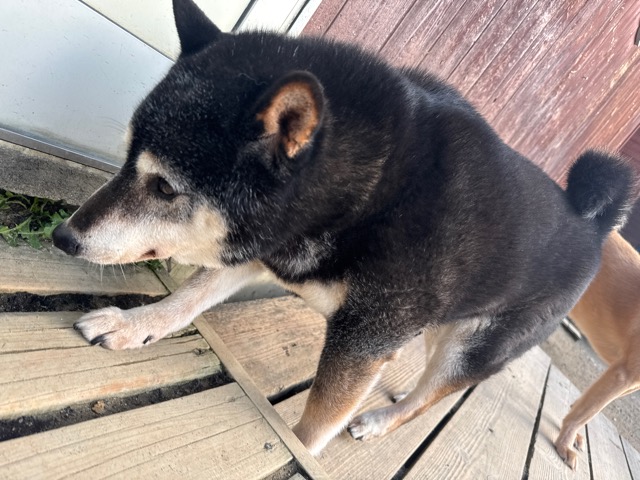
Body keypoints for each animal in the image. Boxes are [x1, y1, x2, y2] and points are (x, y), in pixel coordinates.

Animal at [52, 0, 634, 455]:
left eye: (166, 188)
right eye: (128, 159)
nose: (63, 237)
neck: (371, 193)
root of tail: (595, 227)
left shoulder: (363, 339)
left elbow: (311, 430)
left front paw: (297, 453)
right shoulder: (263, 247)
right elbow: (188, 298)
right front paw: (135, 324)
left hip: (472, 346)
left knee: (426, 397)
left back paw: (380, 421)